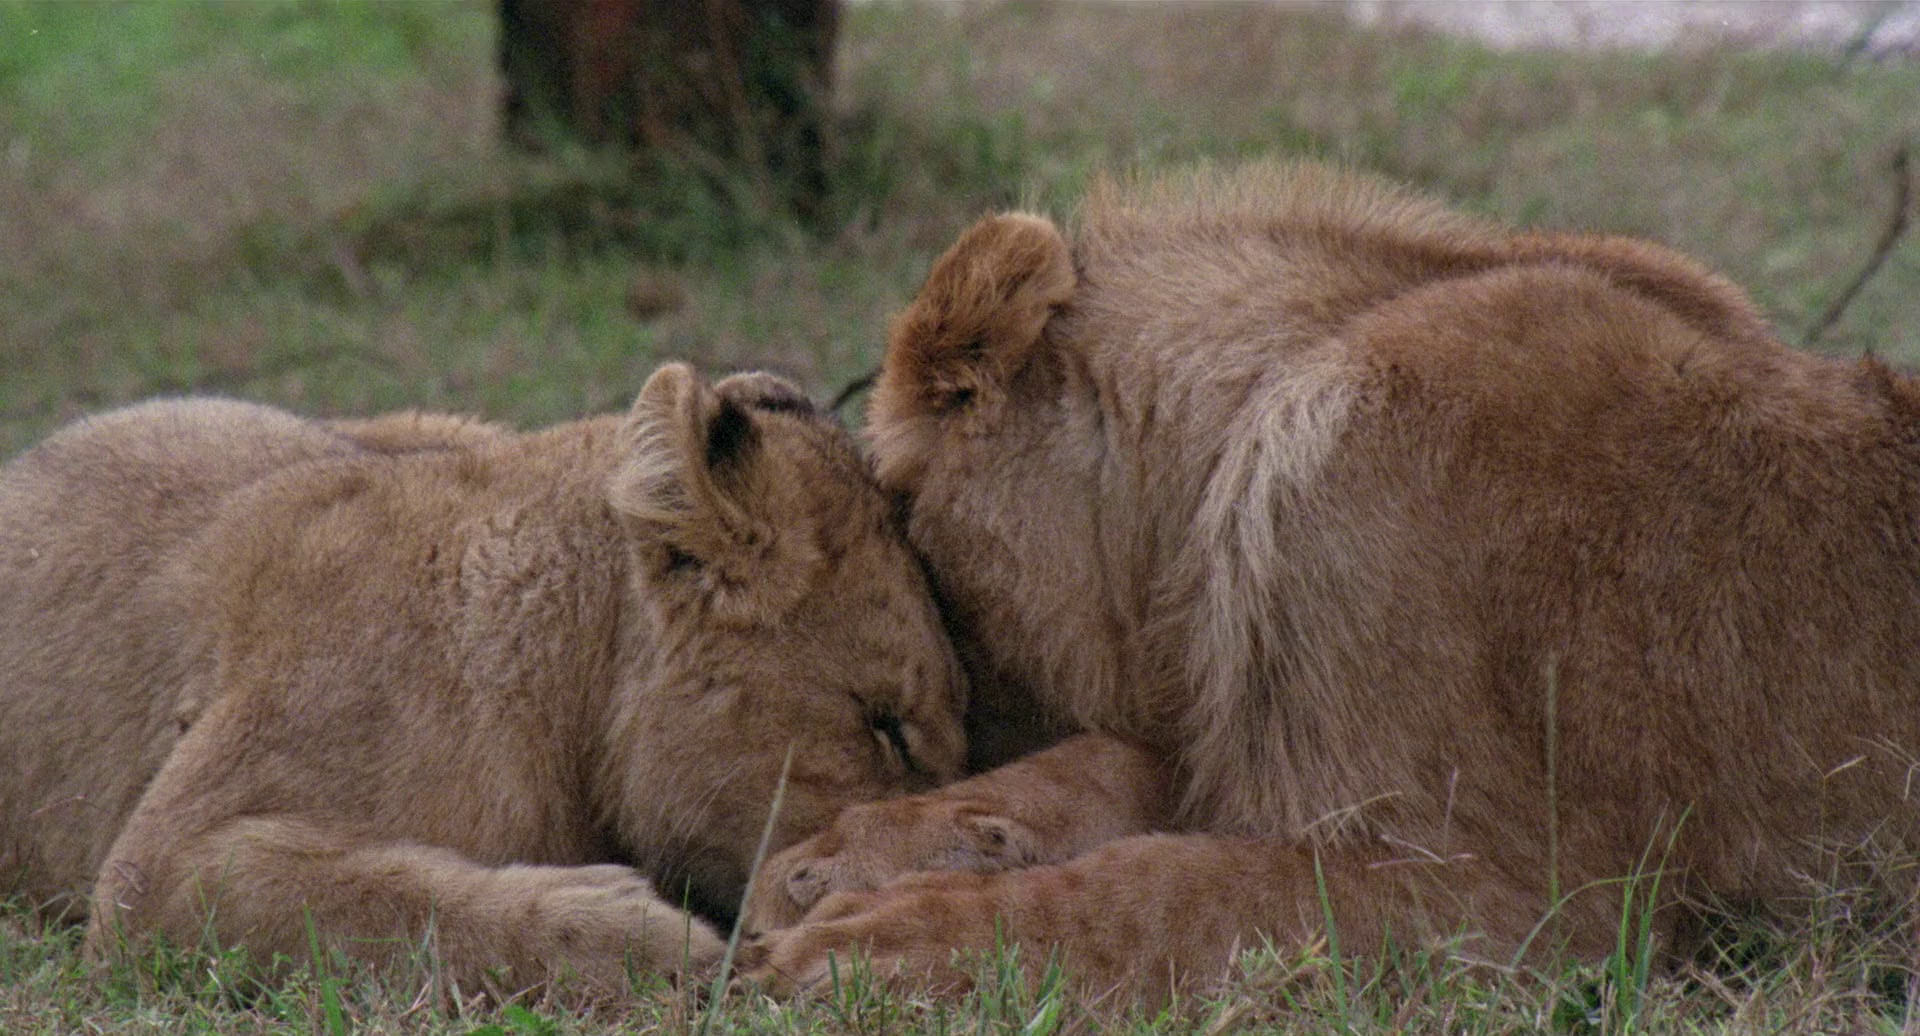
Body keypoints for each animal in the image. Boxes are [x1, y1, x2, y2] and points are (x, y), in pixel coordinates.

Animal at [741, 160, 1920, 997]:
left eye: (919, 553)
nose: (924, 754)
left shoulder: (1515, 908)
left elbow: (1152, 893)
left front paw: (875, 943)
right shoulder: (1228, 732)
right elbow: (1097, 775)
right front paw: (843, 858)